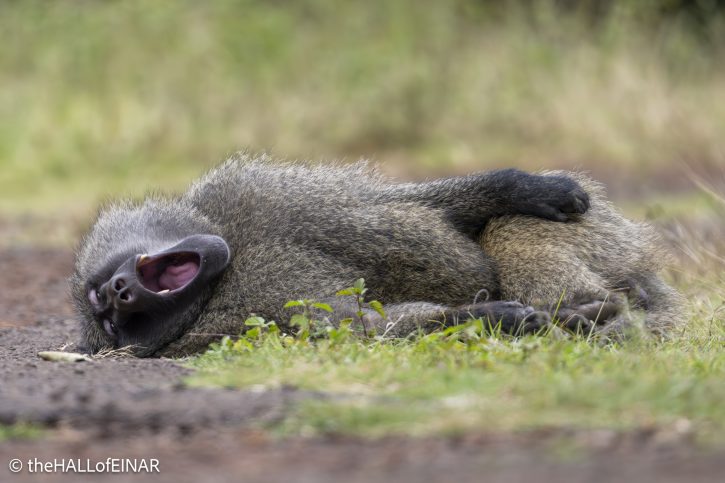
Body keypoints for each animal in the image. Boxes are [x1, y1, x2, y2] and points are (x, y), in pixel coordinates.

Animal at [72, 153, 600, 357]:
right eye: (112, 325)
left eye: (102, 299)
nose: (120, 290)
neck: (231, 262)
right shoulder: (241, 319)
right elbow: (366, 328)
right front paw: (492, 317)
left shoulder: (263, 194)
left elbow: (415, 205)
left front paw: (533, 189)